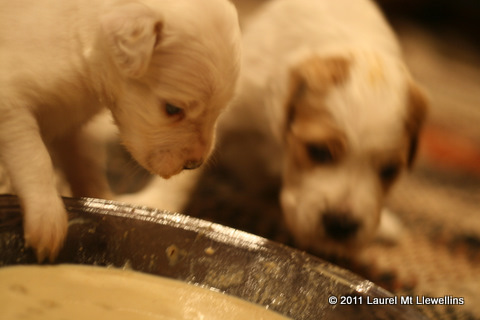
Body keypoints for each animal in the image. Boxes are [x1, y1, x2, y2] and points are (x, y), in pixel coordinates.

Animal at [0, 0, 240, 262]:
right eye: (172, 109)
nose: (194, 165)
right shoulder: (11, 105)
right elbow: (36, 159)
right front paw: (47, 220)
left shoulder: (71, 128)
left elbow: (85, 165)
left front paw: (105, 203)